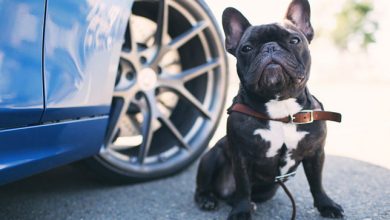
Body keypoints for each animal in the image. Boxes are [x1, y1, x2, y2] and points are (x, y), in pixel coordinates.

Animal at [193, 0, 342, 219]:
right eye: (246, 48)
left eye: (295, 40)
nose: (270, 47)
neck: (281, 109)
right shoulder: (241, 156)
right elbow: (243, 187)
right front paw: (241, 212)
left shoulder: (315, 153)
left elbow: (317, 182)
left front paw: (326, 205)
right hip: (211, 156)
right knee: (206, 185)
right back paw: (208, 199)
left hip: (270, 189)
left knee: (237, 196)